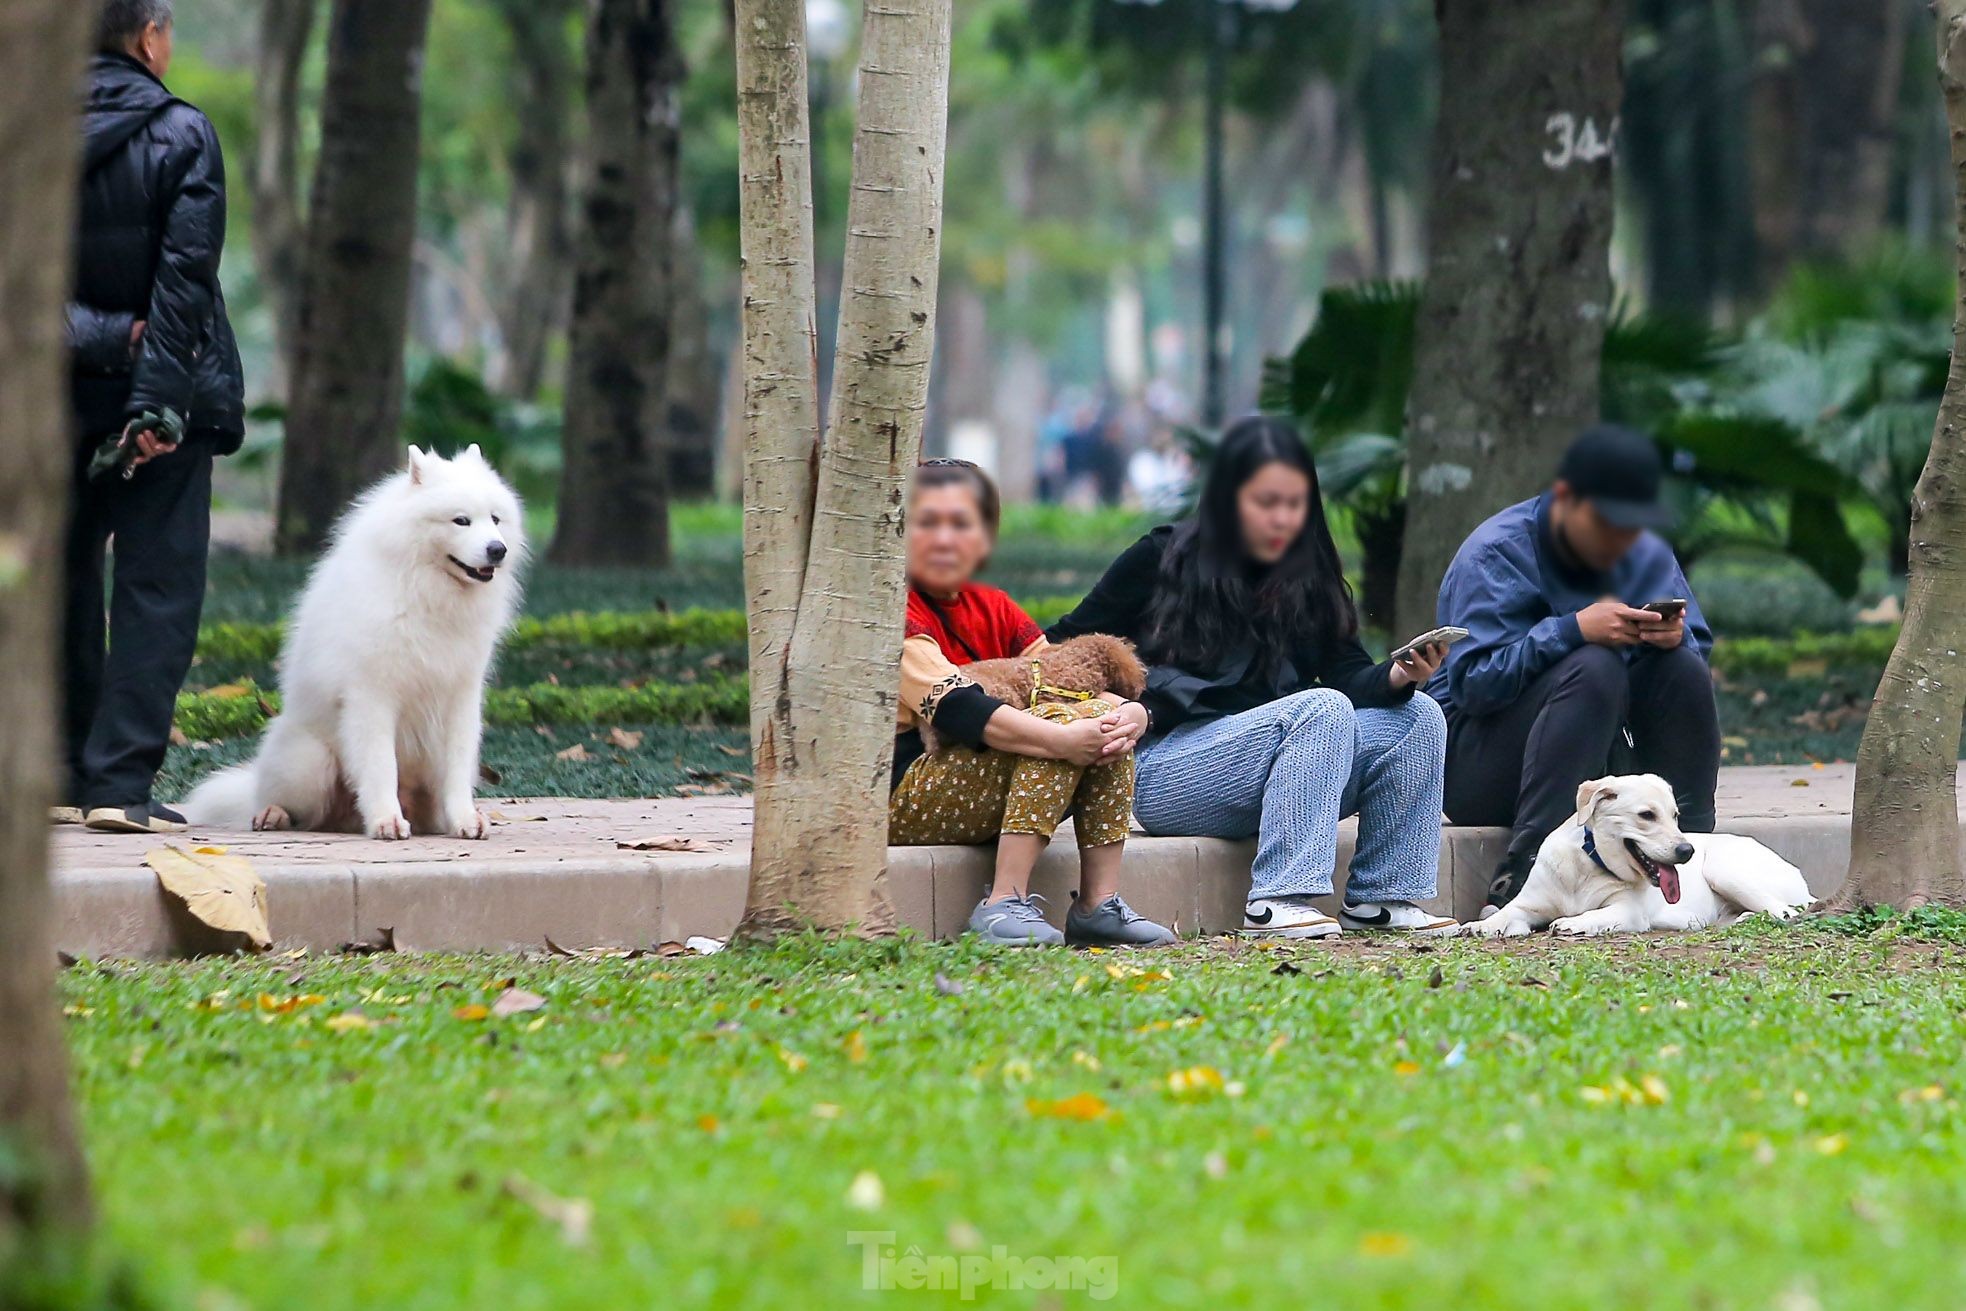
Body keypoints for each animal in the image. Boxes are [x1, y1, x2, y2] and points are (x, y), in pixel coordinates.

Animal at [181, 448, 522, 841]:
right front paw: (386, 820)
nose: (498, 549)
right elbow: (380, 767)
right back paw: (273, 814)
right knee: (287, 806)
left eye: (495, 519)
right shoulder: (372, 697)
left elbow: (456, 770)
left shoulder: (460, 698)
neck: (424, 591)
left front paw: (465, 819)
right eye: (461, 521)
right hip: (310, 763)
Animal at [1478, 774, 1808, 939]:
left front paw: (1574, 922)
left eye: (1675, 816)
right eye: (1647, 815)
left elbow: (1596, 915)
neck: (1588, 864)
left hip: (1725, 870)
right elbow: (1506, 913)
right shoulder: (1529, 903)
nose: (1687, 851)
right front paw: (1483, 926)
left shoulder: (1629, 911)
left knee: (1786, 912)